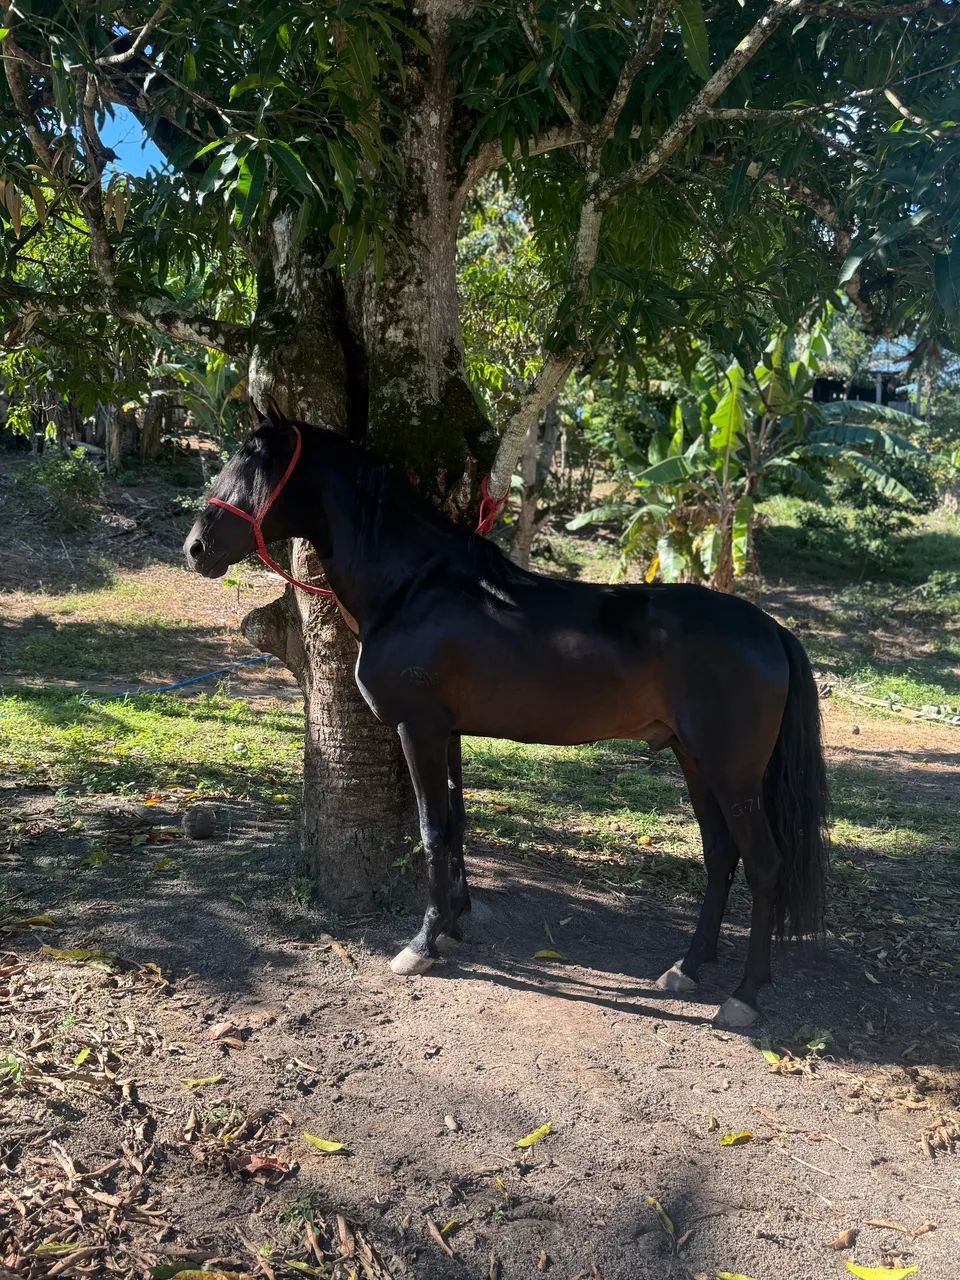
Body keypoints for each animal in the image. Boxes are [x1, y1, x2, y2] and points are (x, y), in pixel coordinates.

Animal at [184, 407, 828, 1028]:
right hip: (694, 760)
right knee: (721, 854)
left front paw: (421, 945)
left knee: (763, 863)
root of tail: (770, 629)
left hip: (730, 772)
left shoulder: (418, 728)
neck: (413, 588)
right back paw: (686, 968)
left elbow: (432, 829)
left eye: (255, 459)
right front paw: (452, 928)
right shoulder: (446, 731)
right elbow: (456, 824)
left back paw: (744, 995)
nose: (196, 547)